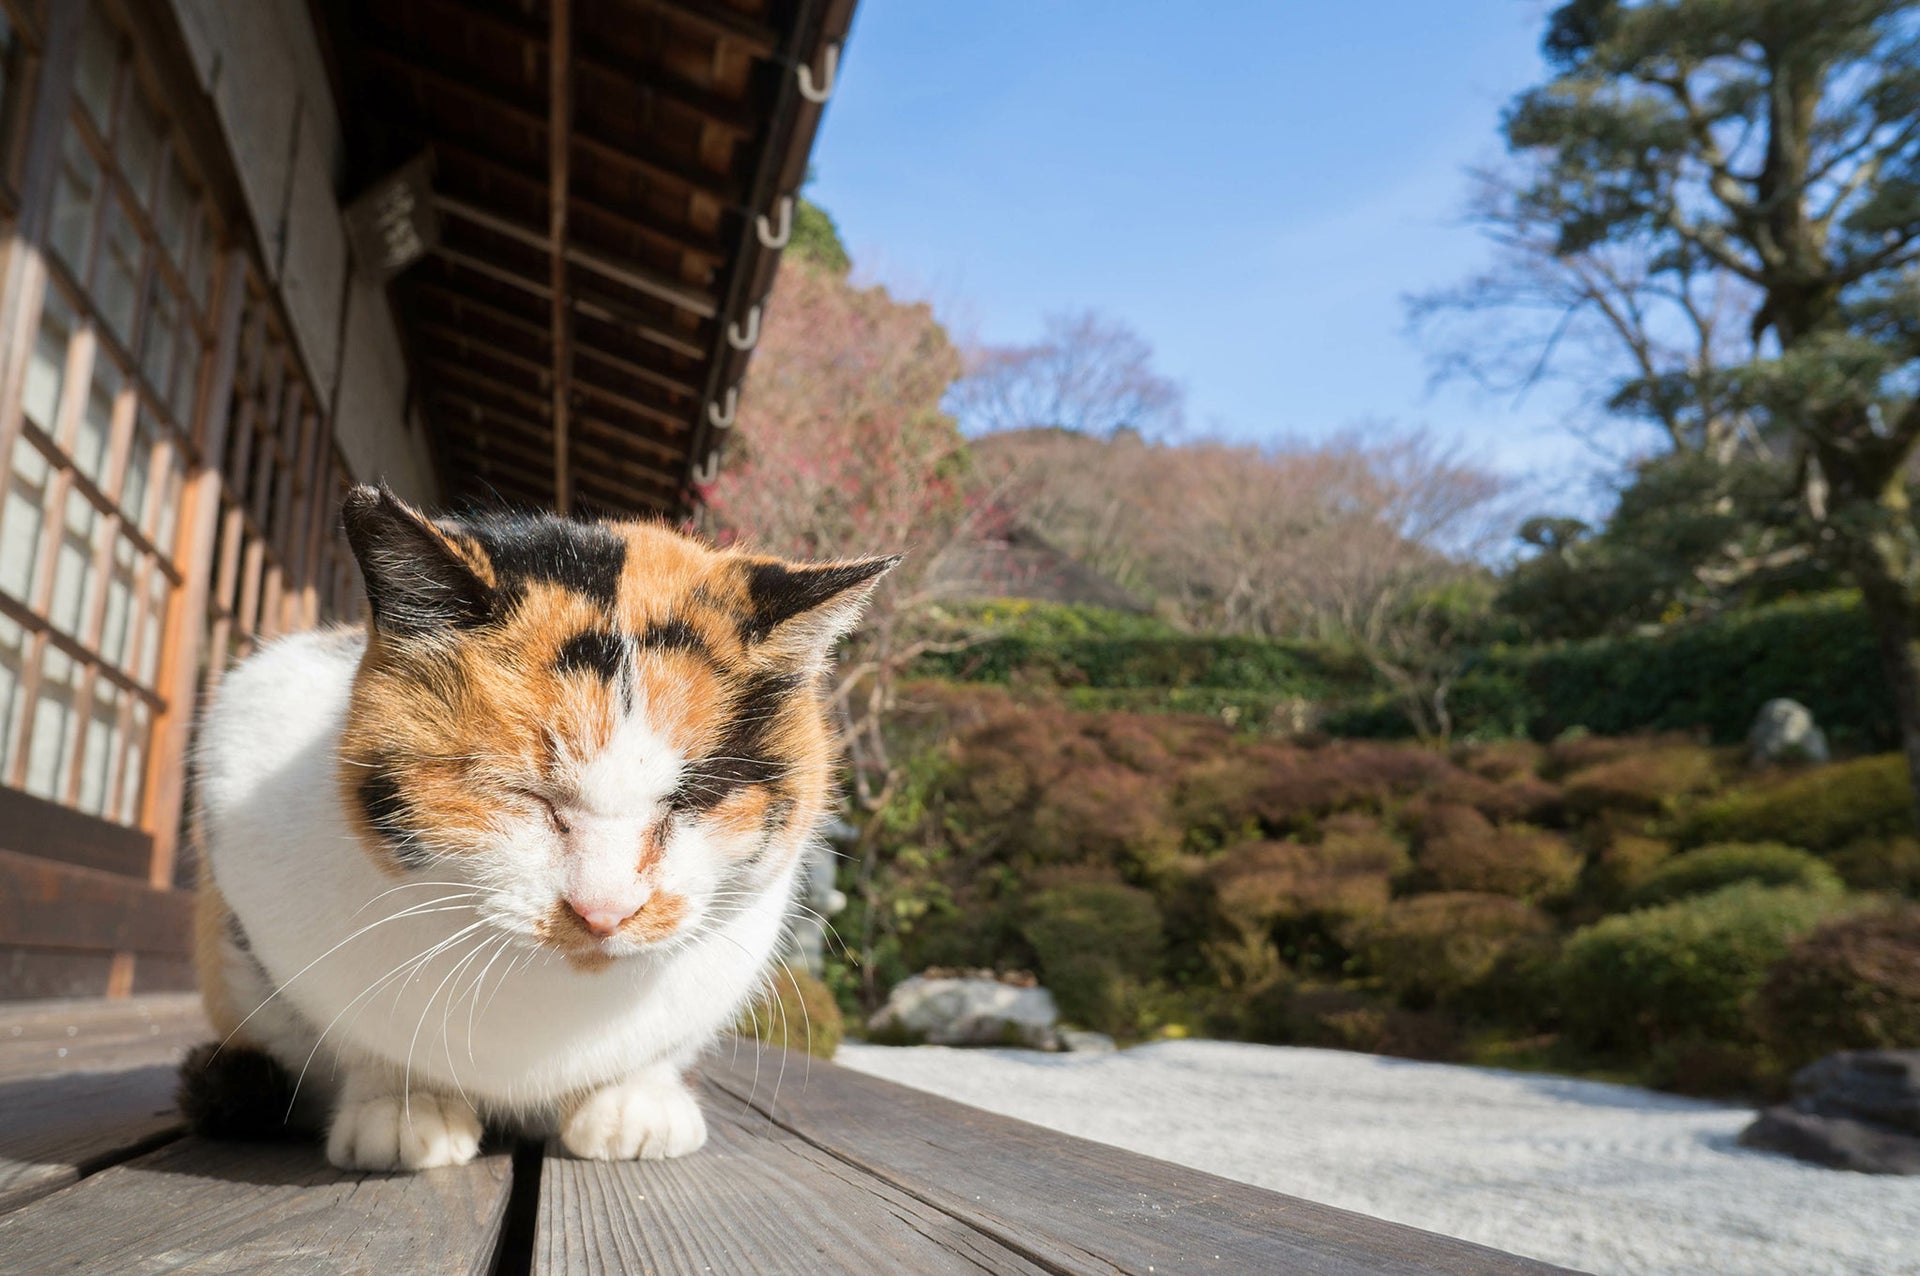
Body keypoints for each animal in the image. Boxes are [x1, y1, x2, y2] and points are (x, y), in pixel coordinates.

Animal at [183, 485, 894, 1166]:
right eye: (525, 792)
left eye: (690, 799)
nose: (605, 911)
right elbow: (360, 1040)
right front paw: (405, 1110)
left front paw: (634, 1104)